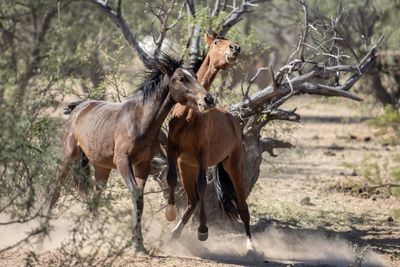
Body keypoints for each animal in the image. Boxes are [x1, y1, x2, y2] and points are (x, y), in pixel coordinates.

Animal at [41, 54, 216, 253]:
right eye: (181, 78)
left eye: (195, 76)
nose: (208, 99)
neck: (140, 121)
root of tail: (79, 106)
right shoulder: (123, 162)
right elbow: (135, 195)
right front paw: (138, 245)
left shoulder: (143, 165)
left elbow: (139, 198)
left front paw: (139, 244)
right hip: (68, 156)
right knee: (55, 191)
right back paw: (40, 239)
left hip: (102, 168)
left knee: (94, 197)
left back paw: (97, 236)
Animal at [166, 33, 256, 251]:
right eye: (216, 42)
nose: (235, 48)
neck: (189, 115)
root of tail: (233, 120)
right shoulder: (174, 151)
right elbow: (171, 178)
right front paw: (171, 215)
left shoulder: (203, 155)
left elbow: (202, 186)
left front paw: (203, 231)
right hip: (187, 167)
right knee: (192, 200)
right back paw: (174, 234)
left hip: (234, 166)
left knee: (243, 207)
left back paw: (251, 246)